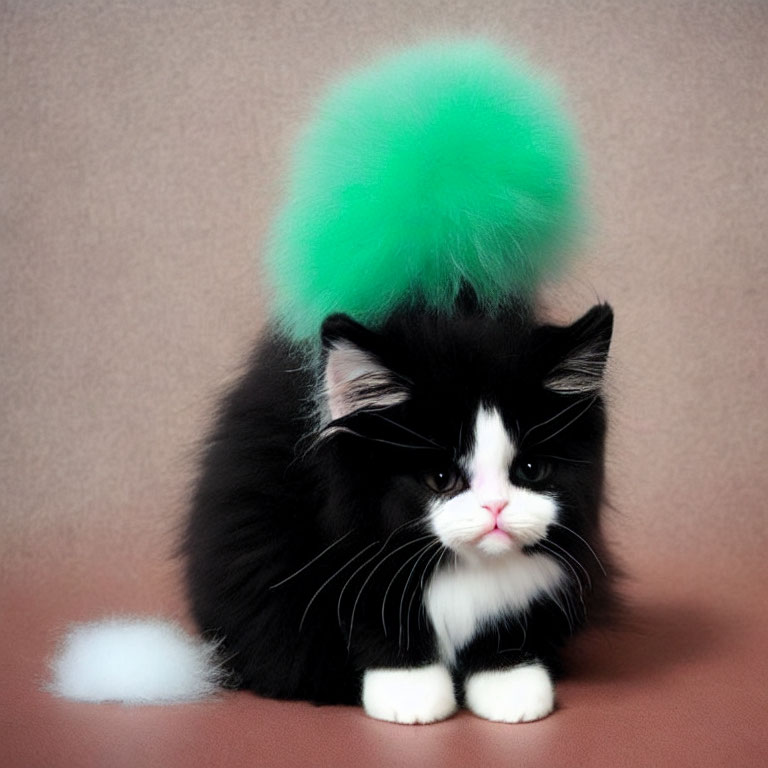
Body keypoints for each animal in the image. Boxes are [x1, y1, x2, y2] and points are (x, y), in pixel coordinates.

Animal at [183, 290, 616, 728]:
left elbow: (506, 613)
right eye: (441, 478)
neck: (461, 568)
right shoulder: (347, 556)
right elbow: (377, 614)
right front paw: (410, 688)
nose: (495, 506)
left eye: (529, 470)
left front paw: (509, 679)